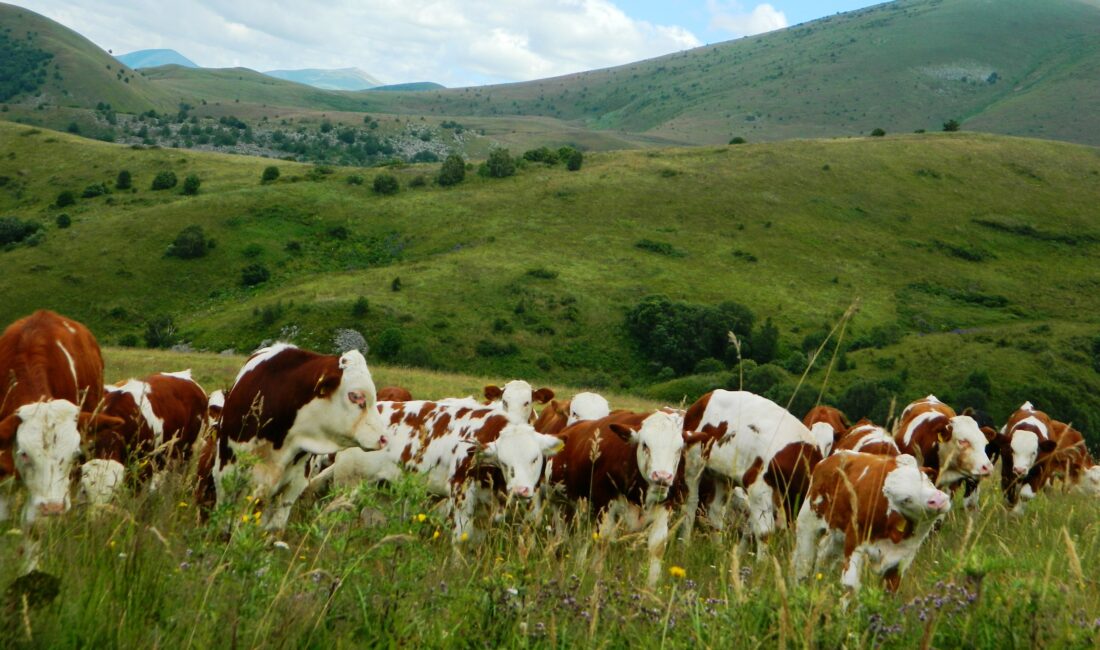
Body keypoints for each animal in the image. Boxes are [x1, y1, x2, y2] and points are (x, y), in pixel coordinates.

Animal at [200, 343, 389, 532]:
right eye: (355, 396)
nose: (384, 439)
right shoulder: (225, 471)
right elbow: (224, 518)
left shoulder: (296, 481)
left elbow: (275, 526)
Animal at [550, 411, 695, 585]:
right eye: (645, 445)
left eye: (678, 449)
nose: (662, 476)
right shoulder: (605, 504)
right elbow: (603, 541)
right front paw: (596, 578)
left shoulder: (664, 506)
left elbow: (657, 546)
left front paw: (650, 587)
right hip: (559, 503)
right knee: (562, 539)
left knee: (582, 539)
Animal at [677, 391, 827, 549]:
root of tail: (706, 396)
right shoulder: (758, 486)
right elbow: (764, 532)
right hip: (693, 464)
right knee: (690, 503)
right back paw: (684, 544)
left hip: (723, 476)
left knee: (715, 510)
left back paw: (718, 548)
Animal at [796, 453, 950, 593]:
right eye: (906, 499)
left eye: (924, 478)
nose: (938, 500)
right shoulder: (854, 543)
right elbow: (849, 586)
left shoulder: (902, 559)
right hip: (806, 526)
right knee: (802, 565)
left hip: (835, 538)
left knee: (823, 558)